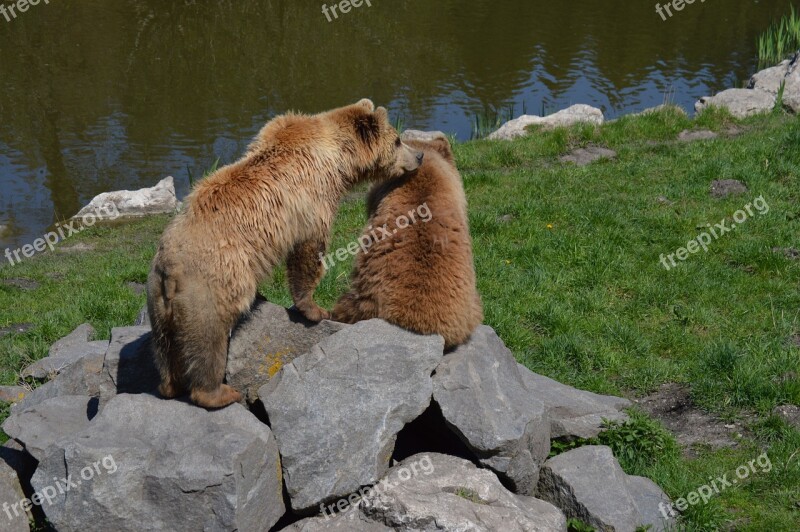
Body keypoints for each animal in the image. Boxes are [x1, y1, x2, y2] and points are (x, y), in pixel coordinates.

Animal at [149, 98, 424, 408]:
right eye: (398, 139)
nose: (420, 155)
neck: (338, 159)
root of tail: (170, 267)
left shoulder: (276, 128)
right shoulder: (313, 197)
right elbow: (309, 250)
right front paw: (316, 310)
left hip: (158, 300)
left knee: (164, 347)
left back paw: (169, 386)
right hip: (211, 286)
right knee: (208, 340)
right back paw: (219, 393)